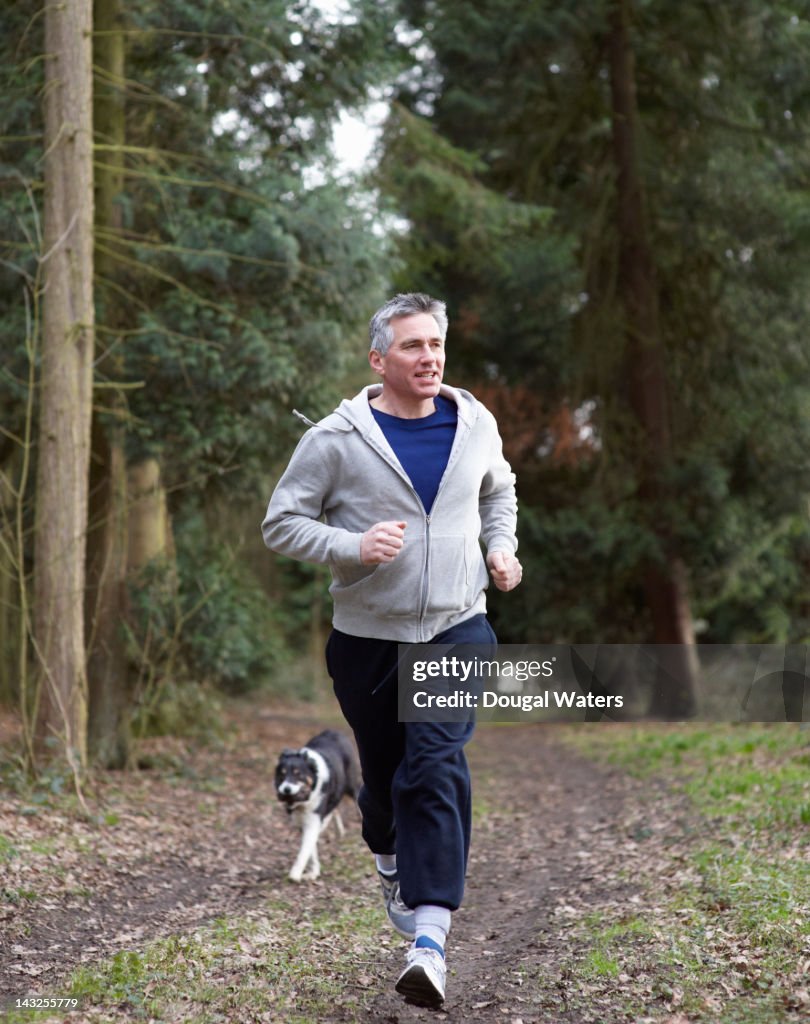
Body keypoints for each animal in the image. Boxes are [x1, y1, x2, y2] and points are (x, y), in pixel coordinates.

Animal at [274, 729, 360, 880]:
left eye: (298, 774)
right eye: (282, 775)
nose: (286, 789)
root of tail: (335, 731)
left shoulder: (312, 821)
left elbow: (305, 850)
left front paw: (295, 874)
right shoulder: (303, 822)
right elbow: (311, 849)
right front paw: (313, 871)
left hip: (352, 786)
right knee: (334, 808)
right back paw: (338, 830)